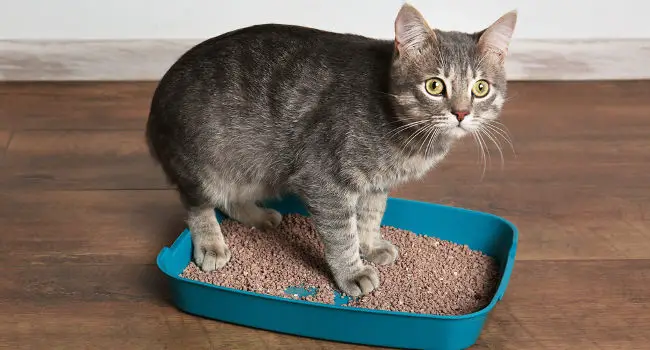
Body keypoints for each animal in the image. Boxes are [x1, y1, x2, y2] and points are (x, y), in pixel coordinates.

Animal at [146, 4, 516, 296]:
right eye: (435, 86)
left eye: (481, 88)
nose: (461, 113)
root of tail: (155, 104)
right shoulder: (324, 181)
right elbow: (342, 234)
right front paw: (352, 271)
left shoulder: (375, 184)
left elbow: (370, 216)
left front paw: (370, 245)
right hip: (204, 165)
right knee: (197, 205)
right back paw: (211, 243)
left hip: (253, 167)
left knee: (230, 198)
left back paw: (258, 215)